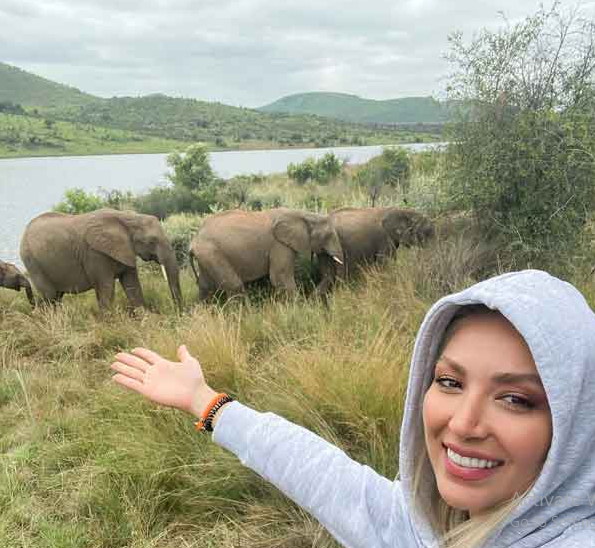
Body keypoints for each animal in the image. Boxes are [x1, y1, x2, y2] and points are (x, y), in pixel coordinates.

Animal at [19, 209, 183, 312]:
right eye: (151, 241)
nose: (179, 313)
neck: (126, 218)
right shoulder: (95, 253)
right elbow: (106, 288)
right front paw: (109, 325)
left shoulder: (125, 250)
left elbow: (132, 285)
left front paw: (146, 320)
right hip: (33, 262)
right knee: (50, 297)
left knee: (54, 298)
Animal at [186, 207, 344, 300]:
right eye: (328, 236)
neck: (302, 214)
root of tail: (194, 240)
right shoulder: (279, 245)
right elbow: (280, 278)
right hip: (212, 252)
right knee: (234, 286)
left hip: (206, 255)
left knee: (205, 287)